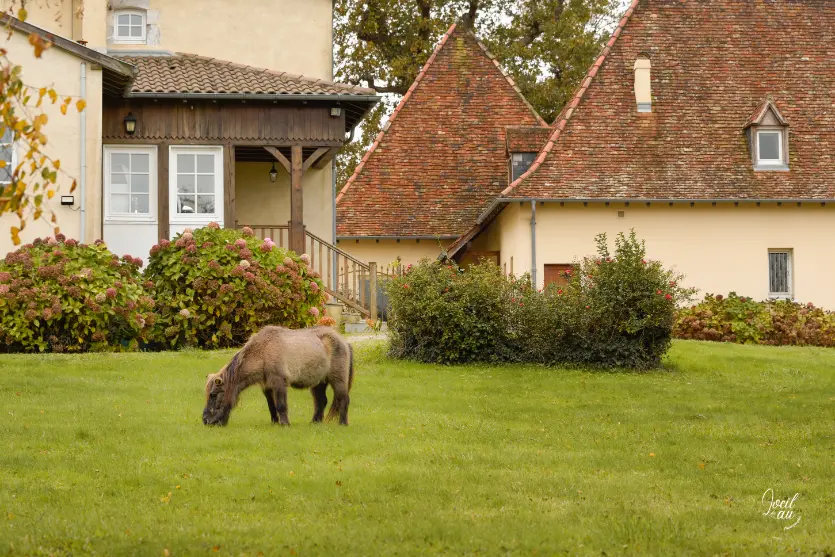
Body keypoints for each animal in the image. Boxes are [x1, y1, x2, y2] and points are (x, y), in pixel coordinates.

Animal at [202, 326, 354, 427]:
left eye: (213, 395)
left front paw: (284, 424)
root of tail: (344, 342)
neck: (263, 351)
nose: (205, 420)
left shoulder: (279, 383)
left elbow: (281, 405)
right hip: (318, 383)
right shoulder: (267, 387)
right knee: (321, 402)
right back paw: (315, 423)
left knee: (343, 399)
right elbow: (272, 406)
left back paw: (343, 423)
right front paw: (274, 423)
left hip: (338, 381)